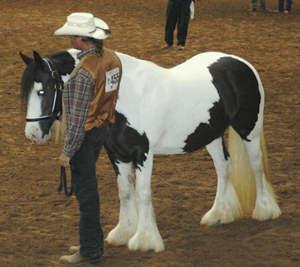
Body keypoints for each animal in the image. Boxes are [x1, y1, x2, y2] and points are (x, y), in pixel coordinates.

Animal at [19, 48, 282, 253]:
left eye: (42, 91)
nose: (32, 134)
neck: (123, 97)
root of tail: (242, 63)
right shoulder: (117, 155)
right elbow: (125, 192)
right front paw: (123, 233)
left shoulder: (142, 154)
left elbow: (143, 194)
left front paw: (145, 240)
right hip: (212, 135)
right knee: (224, 168)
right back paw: (219, 214)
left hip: (249, 130)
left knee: (256, 166)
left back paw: (265, 210)